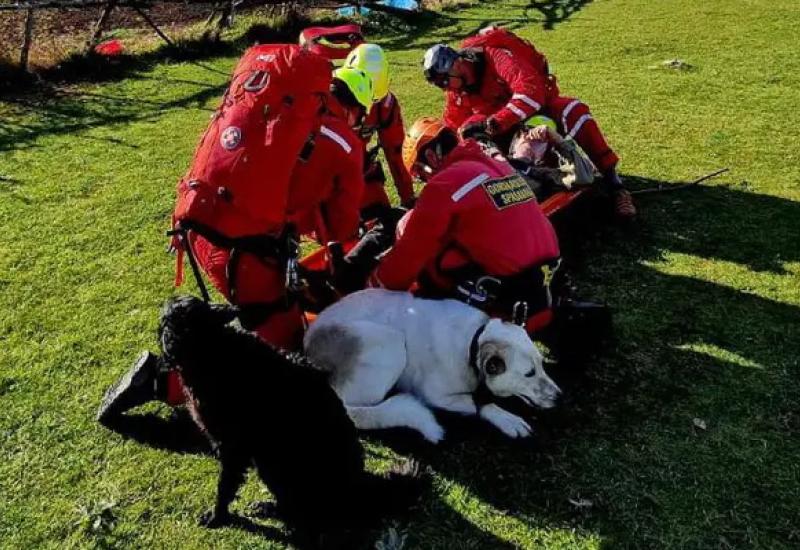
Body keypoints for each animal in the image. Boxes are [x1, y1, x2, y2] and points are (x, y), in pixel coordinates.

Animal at [159, 298, 428, 548]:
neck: (212, 348)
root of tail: (360, 489)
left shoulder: (233, 448)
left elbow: (224, 487)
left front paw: (217, 516)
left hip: (275, 465)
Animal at [304, 292, 560, 446]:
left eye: (541, 364)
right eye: (529, 373)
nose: (560, 397)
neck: (473, 343)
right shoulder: (434, 395)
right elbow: (480, 403)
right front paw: (507, 418)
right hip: (389, 342)